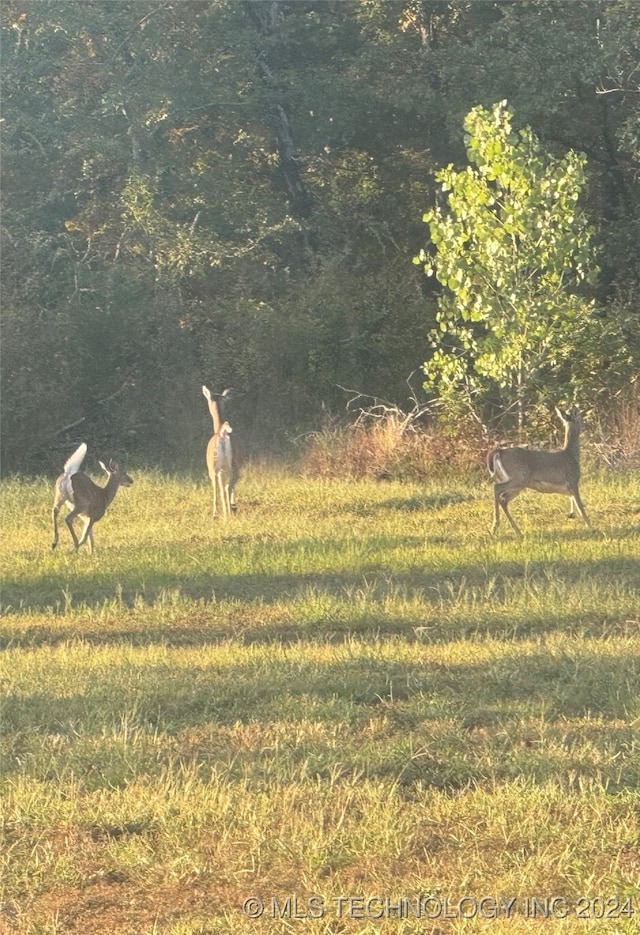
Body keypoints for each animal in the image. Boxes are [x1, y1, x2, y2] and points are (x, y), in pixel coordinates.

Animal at [202, 386, 238, 520]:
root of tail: (222, 434)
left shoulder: (213, 470)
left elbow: (216, 488)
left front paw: (215, 513)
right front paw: (232, 506)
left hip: (214, 466)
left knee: (222, 488)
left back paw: (225, 514)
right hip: (233, 464)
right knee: (229, 486)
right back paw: (231, 510)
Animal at [490, 406, 592, 536]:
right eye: (580, 417)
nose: (586, 425)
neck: (572, 455)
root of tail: (499, 451)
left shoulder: (568, 488)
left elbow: (572, 500)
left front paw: (571, 514)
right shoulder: (573, 480)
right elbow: (580, 505)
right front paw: (591, 526)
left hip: (515, 483)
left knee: (503, 499)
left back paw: (517, 531)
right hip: (518, 477)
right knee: (497, 488)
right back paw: (495, 525)